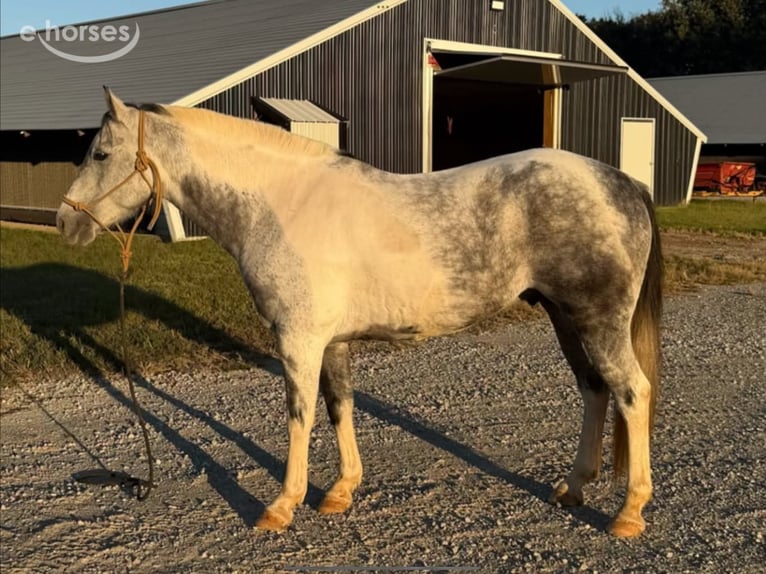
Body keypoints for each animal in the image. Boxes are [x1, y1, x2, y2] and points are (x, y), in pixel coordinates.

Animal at [57, 88, 662, 538]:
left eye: (100, 154)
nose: (65, 222)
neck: (283, 204)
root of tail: (623, 183)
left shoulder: (298, 340)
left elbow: (299, 416)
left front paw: (283, 505)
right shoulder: (334, 341)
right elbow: (339, 407)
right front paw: (341, 491)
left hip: (598, 321)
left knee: (632, 392)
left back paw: (629, 513)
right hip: (565, 317)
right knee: (594, 390)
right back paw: (573, 488)